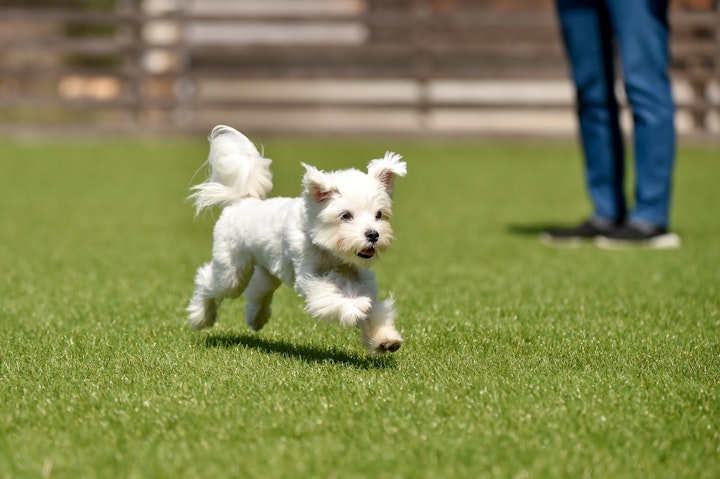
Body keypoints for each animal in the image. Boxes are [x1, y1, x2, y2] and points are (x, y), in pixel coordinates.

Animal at [188, 125, 408, 354]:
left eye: (379, 215)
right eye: (345, 215)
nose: (373, 234)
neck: (330, 252)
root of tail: (242, 201)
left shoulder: (359, 274)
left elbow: (375, 308)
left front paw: (385, 338)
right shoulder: (310, 275)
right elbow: (329, 294)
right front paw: (355, 304)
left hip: (268, 268)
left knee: (258, 288)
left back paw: (256, 318)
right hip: (232, 269)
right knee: (208, 280)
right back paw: (200, 317)